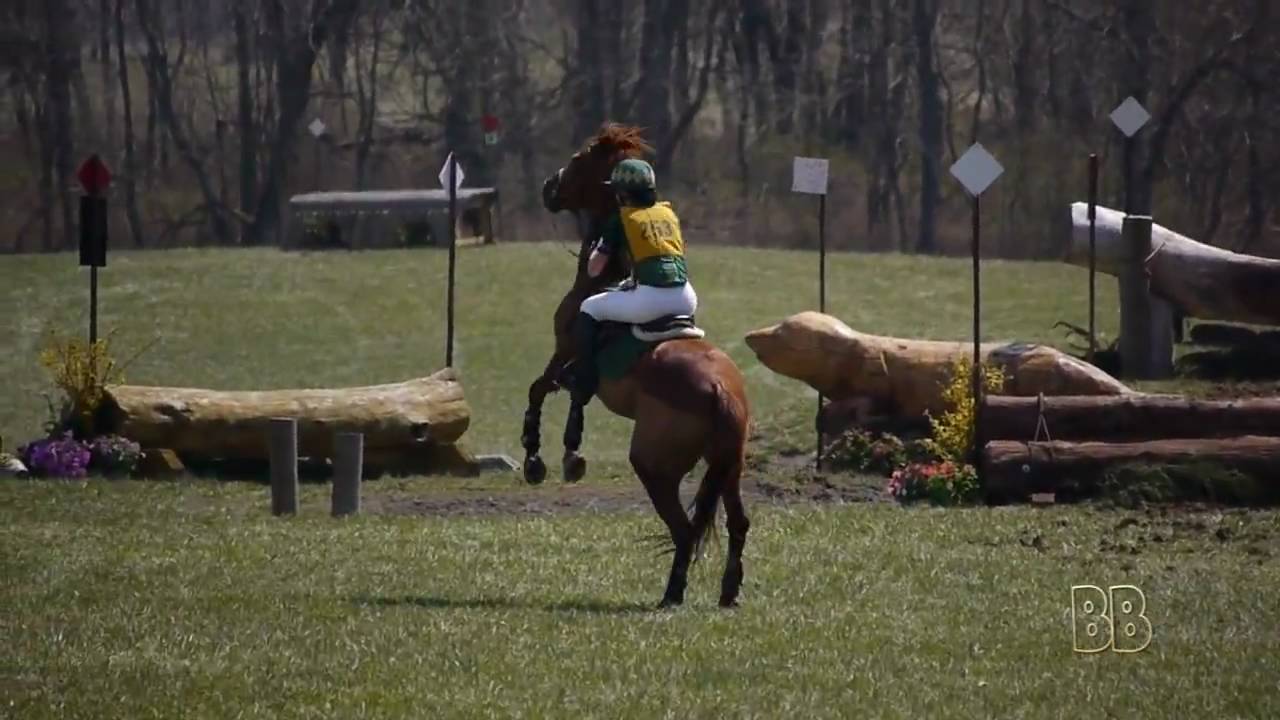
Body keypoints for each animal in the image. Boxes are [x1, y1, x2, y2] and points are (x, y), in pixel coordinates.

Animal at [520, 122, 752, 608]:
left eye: (581, 157)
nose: (549, 187)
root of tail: (722, 391)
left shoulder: (564, 350)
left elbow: (544, 389)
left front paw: (543, 456)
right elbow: (566, 392)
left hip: (653, 462)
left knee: (683, 528)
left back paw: (672, 594)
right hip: (729, 462)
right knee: (737, 523)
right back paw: (728, 592)